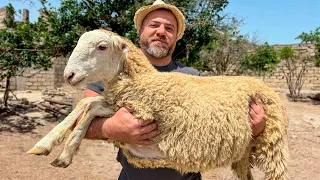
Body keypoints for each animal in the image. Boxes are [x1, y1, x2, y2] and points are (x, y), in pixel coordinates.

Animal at [26, 29, 288, 180]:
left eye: (102, 46)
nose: (68, 75)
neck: (144, 80)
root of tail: (263, 85)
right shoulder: (120, 103)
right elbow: (86, 103)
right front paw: (47, 146)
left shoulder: (140, 111)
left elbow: (90, 106)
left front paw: (63, 151)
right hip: (243, 154)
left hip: (273, 145)